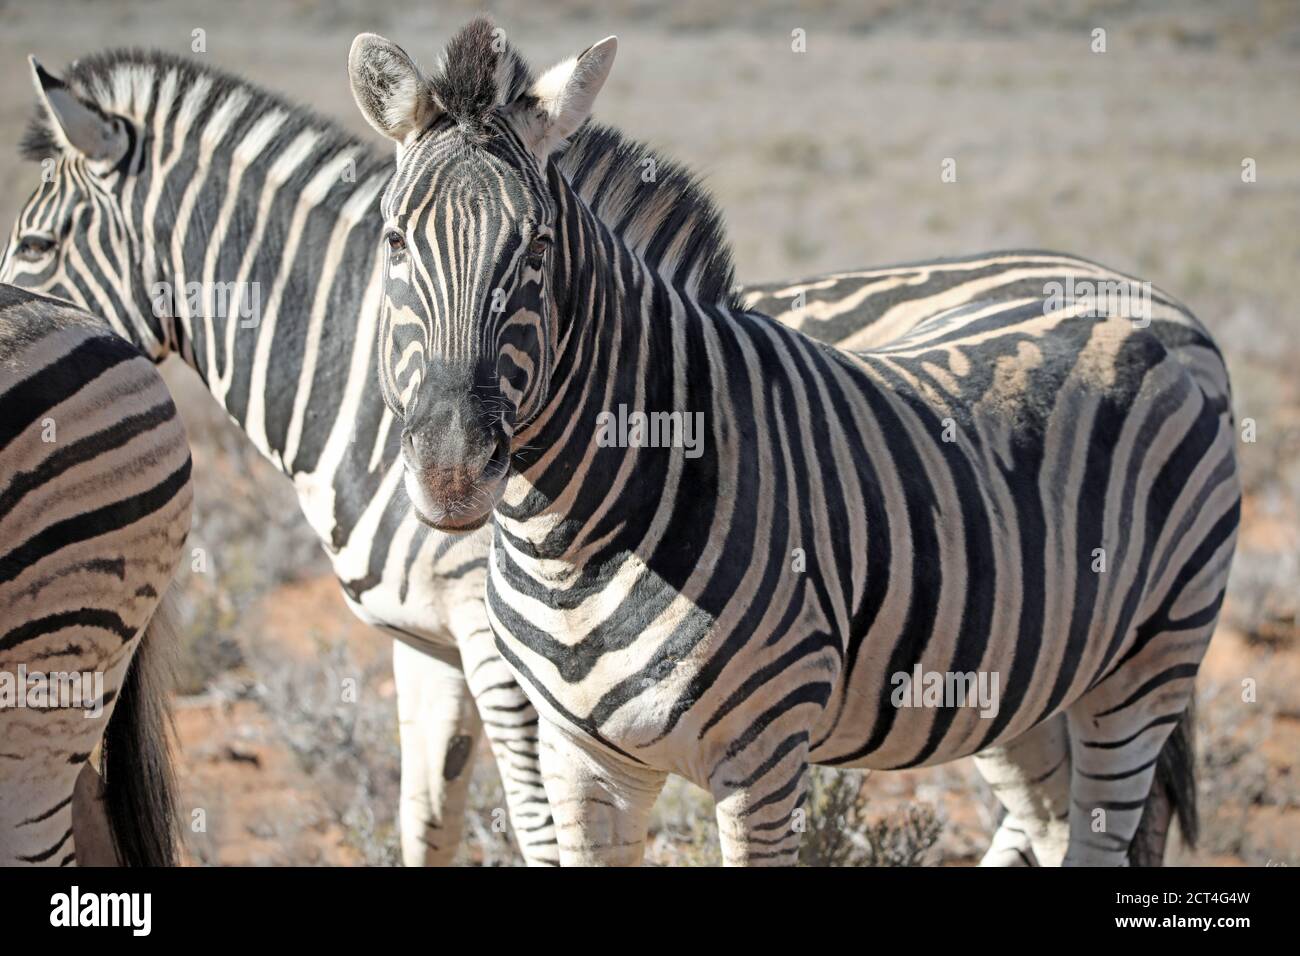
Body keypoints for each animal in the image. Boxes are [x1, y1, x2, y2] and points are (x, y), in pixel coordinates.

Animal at [349, 19, 1240, 866]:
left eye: (536, 248)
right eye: (393, 241)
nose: (452, 471)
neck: (570, 548)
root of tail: (1145, 305)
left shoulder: (765, 759)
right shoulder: (580, 759)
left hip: (1149, 665)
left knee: (1102, 831)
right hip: (1028, 676)